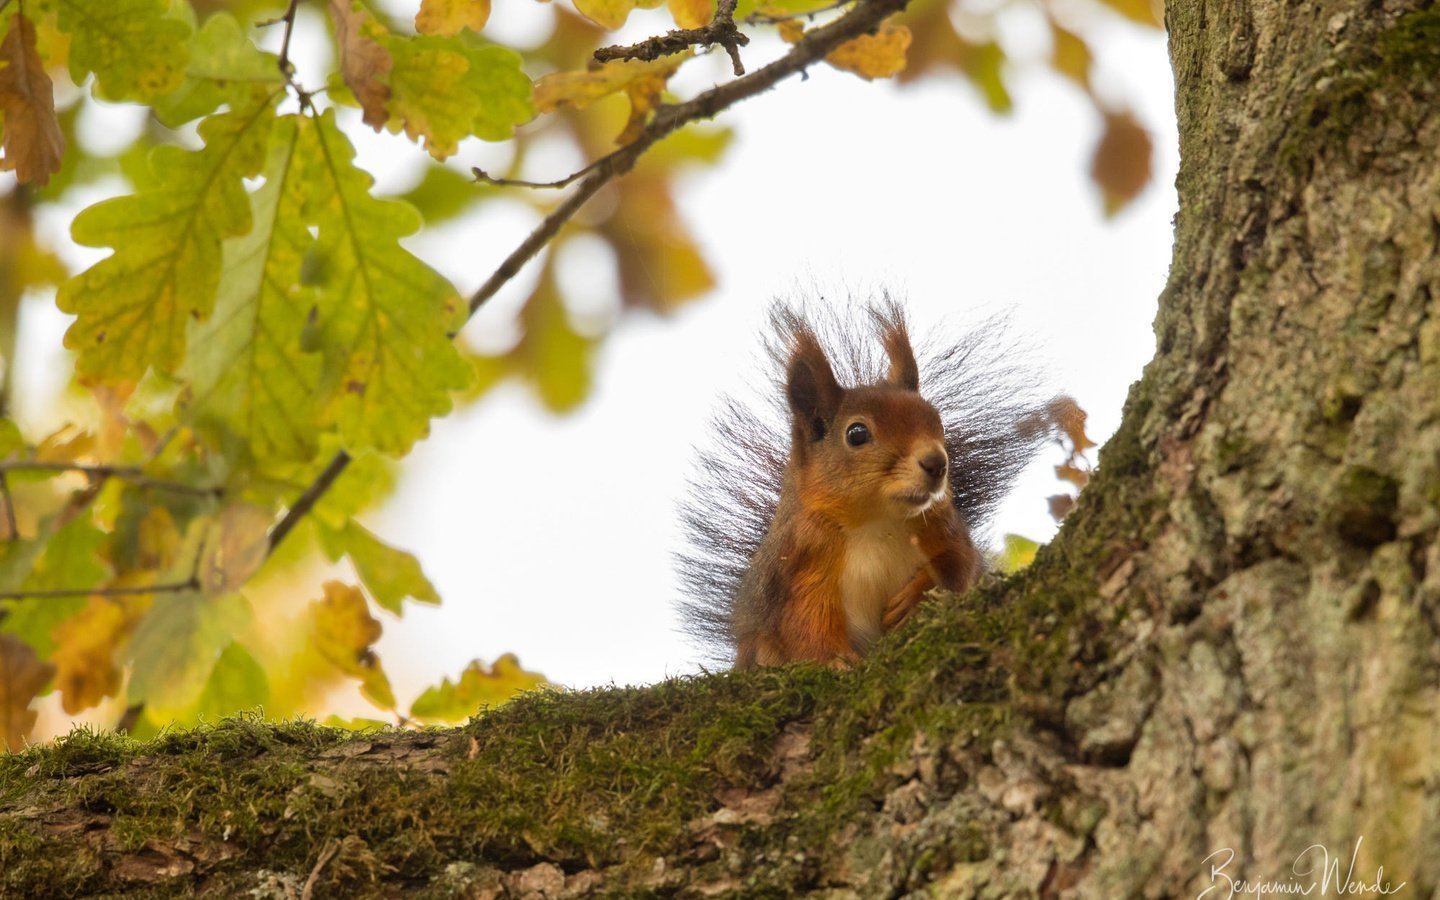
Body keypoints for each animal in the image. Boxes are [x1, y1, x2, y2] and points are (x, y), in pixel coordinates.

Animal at [679, 299, 1054, 668]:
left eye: (938, 422)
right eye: (857, 434)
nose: (936, 463)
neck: (877, 521)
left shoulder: (942, 524)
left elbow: (958, 565)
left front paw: (916, 598)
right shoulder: (803, 558)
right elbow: (803, 623)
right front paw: (834, 659)